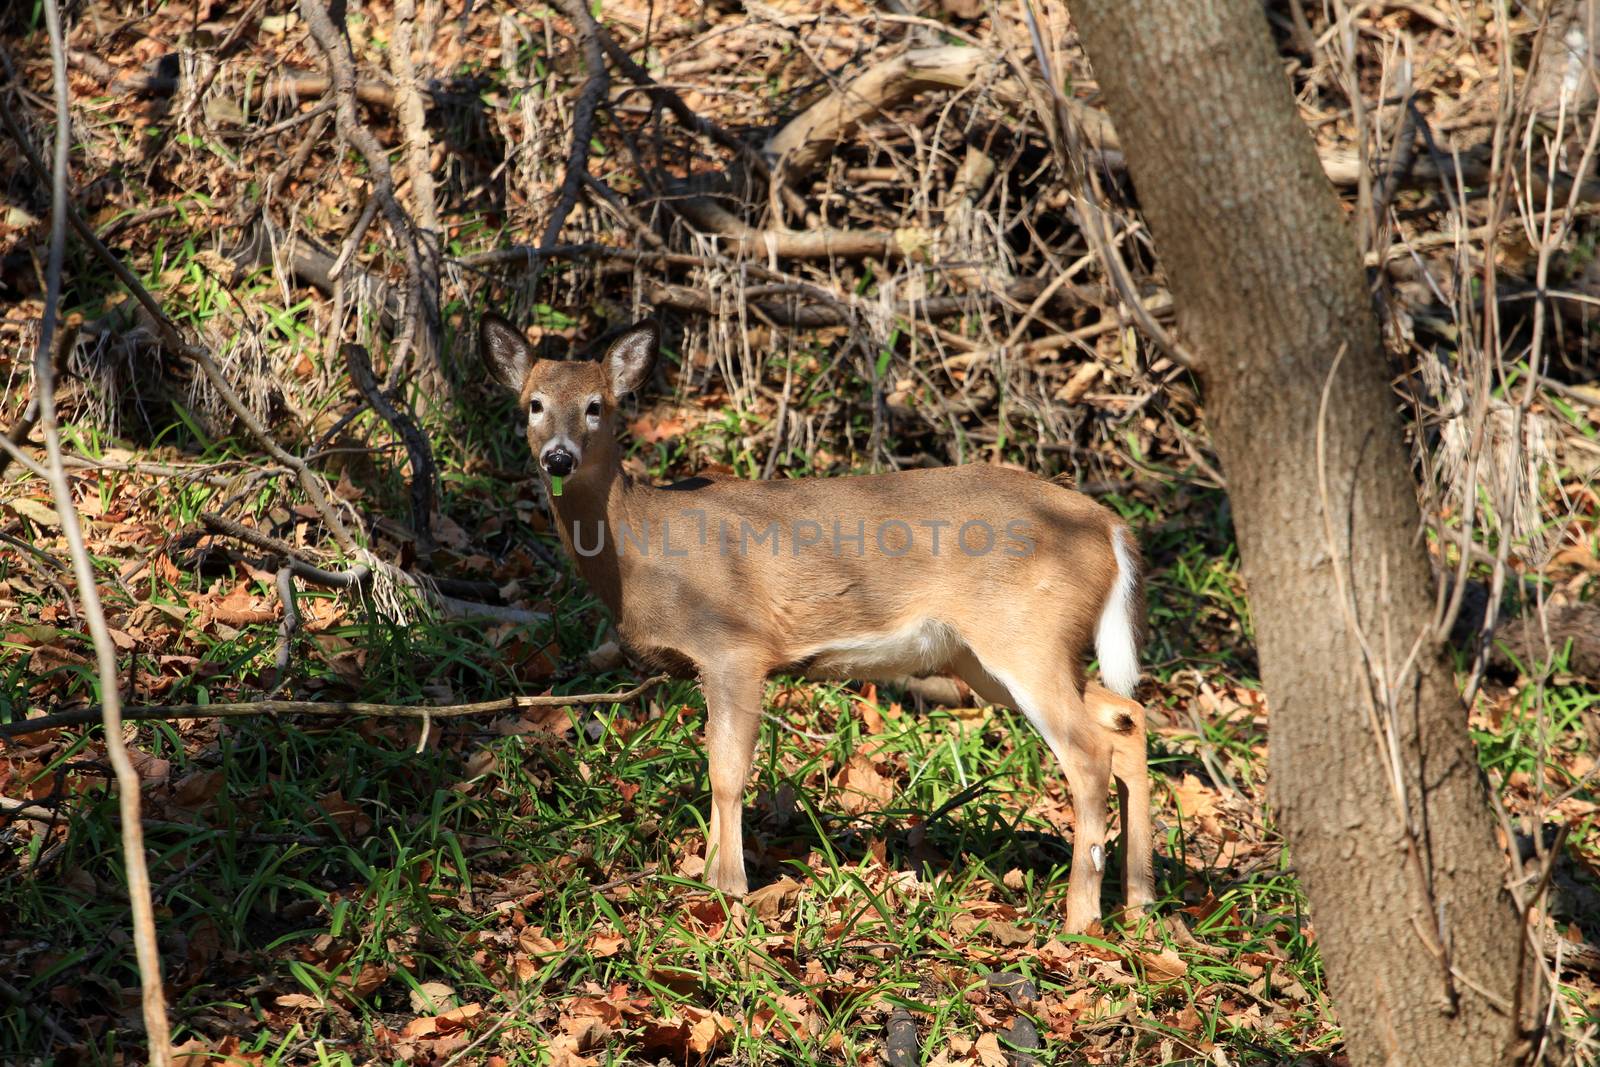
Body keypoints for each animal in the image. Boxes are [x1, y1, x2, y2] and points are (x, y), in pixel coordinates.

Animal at [480, 308, 1158, 927]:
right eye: (534, 404)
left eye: (597, 406)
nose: (558, 458)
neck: (643, 546)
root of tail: (1110, 525)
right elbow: (717, 767)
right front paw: (709, 881)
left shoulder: (735, 646)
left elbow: (728, 772)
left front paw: (728, 892)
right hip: (994, 655)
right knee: (1126, 717)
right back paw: (1139, 905)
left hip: (1025, 635)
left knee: (1089, 752)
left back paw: (1078, 923)